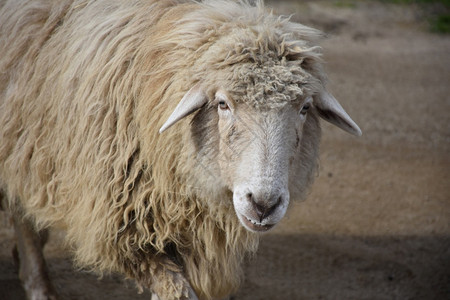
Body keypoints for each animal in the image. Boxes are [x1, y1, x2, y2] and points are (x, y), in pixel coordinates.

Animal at [0, 0, 360, 298]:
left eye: (304, 108)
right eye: (222, 104)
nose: (263, 204)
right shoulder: (123, 231)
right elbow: (175, 289)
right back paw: (39, 285)